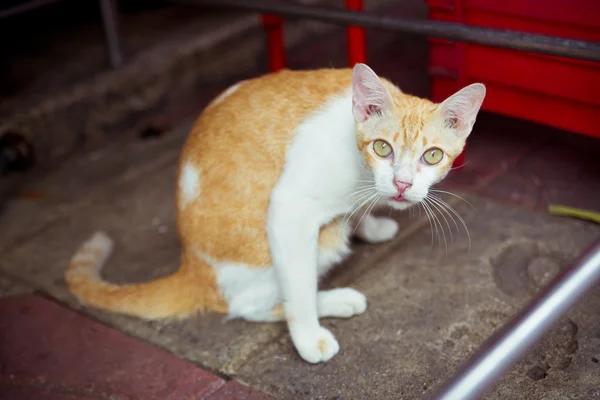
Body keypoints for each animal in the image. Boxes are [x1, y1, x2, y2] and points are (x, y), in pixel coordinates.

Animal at [67, 61, 488, 362]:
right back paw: (332, 301)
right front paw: (308, 340)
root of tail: (192, 268)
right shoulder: (290, 211)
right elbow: (297, 292)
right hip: (290, 251)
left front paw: (370, 224)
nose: (402, 184)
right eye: (382, 148)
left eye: (432, 156)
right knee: (253, 304)